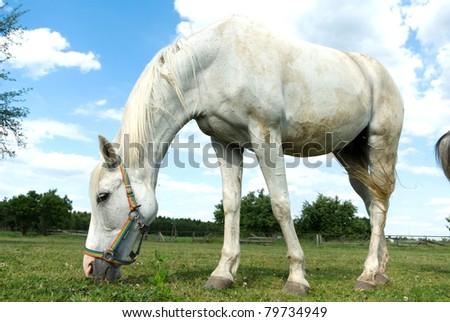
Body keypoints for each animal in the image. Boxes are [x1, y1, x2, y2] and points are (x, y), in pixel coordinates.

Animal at [83, 17, 404, 294]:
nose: (89, 267)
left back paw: (367, 275)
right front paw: (223, 273)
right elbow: (231, 205)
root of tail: (381, 74)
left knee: (378, 205)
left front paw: (297, 277)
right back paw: (381, 272)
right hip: (350, 154)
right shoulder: (225, 144)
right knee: (373, 202)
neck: (216, 64)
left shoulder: (266, 136)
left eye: (103, 196)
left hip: (381, 147)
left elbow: (280, 204)